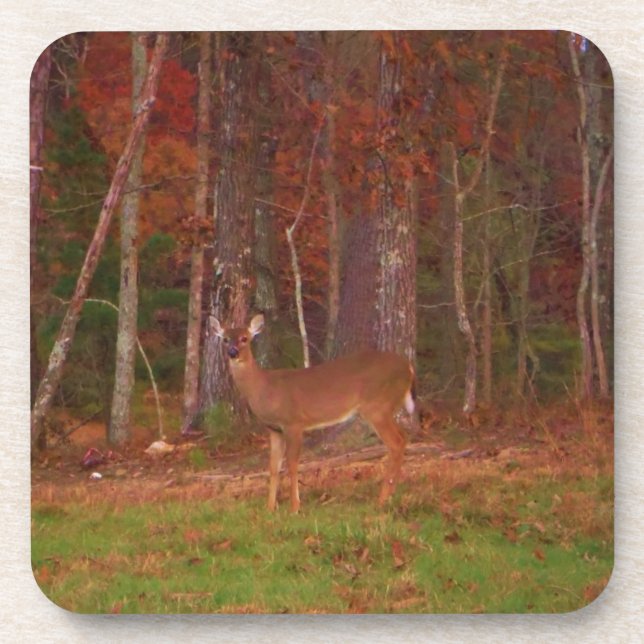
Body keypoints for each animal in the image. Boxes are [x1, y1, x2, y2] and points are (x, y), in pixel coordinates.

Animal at [212, 313, 417, 513]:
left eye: (244, 338)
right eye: (225, 339)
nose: (233, 352)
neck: (264, 388)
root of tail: (409, 367)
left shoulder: (293, 422)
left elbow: (292, 464)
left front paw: (295, 507)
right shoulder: (274, 429)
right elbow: (273, 467)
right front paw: (270, 508)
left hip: (377, 406)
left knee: (396, 442)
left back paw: (382, 500)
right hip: (384, 407)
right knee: (404, 437)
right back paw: (390, 494)